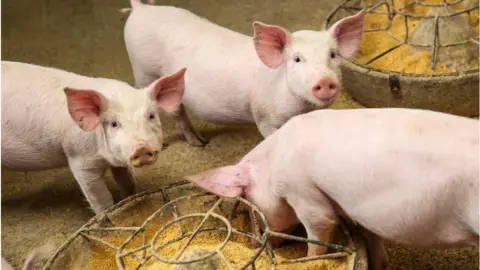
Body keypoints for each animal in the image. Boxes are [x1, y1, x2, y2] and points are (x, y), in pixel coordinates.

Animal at [1, 61, 186, 213]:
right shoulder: (79, 160)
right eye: (113, 124)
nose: (141, 148)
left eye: (151, 116)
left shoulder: (118, 161)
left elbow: (127, 183)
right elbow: (101, 199)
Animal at [123, 1, 364, 146]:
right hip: (142, 70)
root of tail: (140, 9)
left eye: (332, 54)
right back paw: (199, 143)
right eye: (297, 59)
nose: (325, 81)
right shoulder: (264, 115)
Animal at [185, 107, 480, 268]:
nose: (253, 243)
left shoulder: (300, 188)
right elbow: (370, 235)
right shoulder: (356, 208)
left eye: (251, 209)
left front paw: (312, 259)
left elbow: (318, 227)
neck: (271, 162)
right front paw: (380, 263)